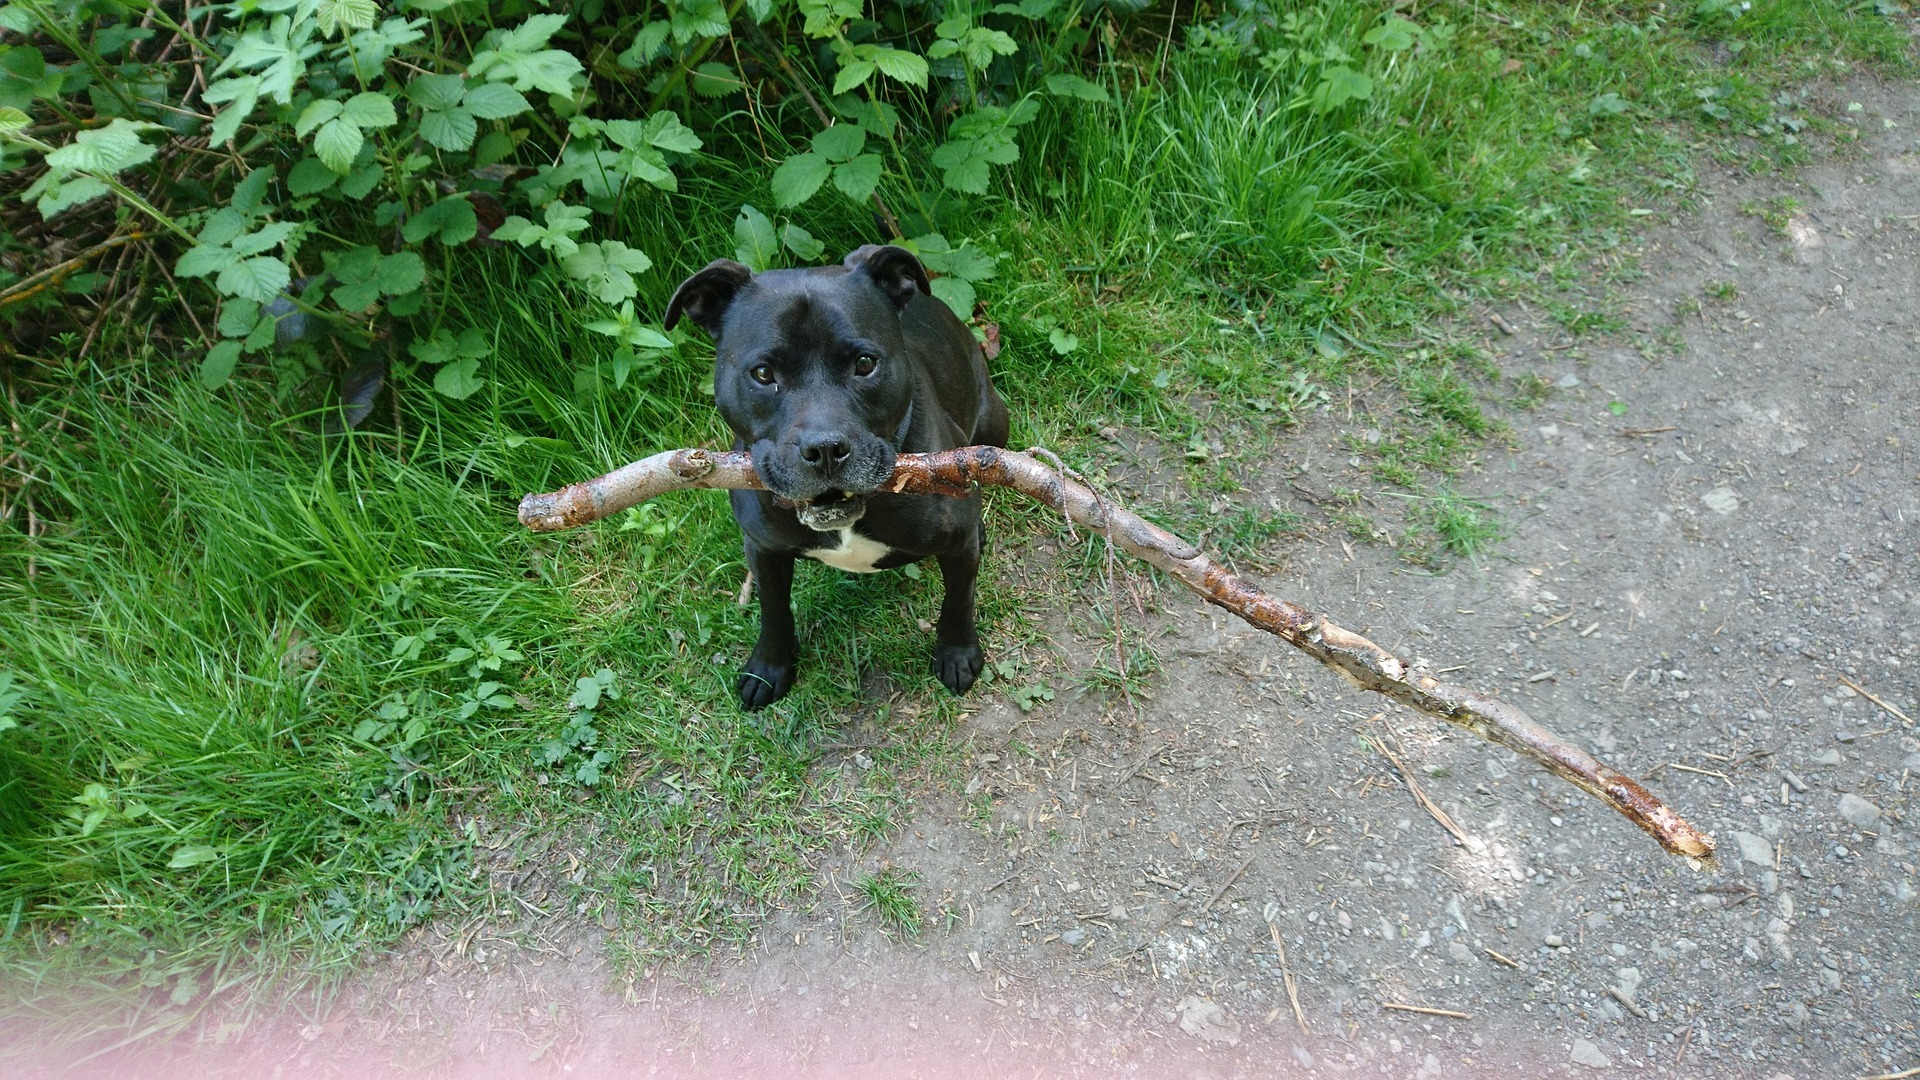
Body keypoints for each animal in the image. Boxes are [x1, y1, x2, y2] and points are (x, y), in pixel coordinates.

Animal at [664, 244, 1013, 707]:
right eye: (762, 374)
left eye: (865, 363)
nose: (825, 449)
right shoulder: (763, 549)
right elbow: (773, 611)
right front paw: (768, 667)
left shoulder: (957, 546)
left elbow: (959, 600)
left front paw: (957, 654)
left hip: (993, 423)